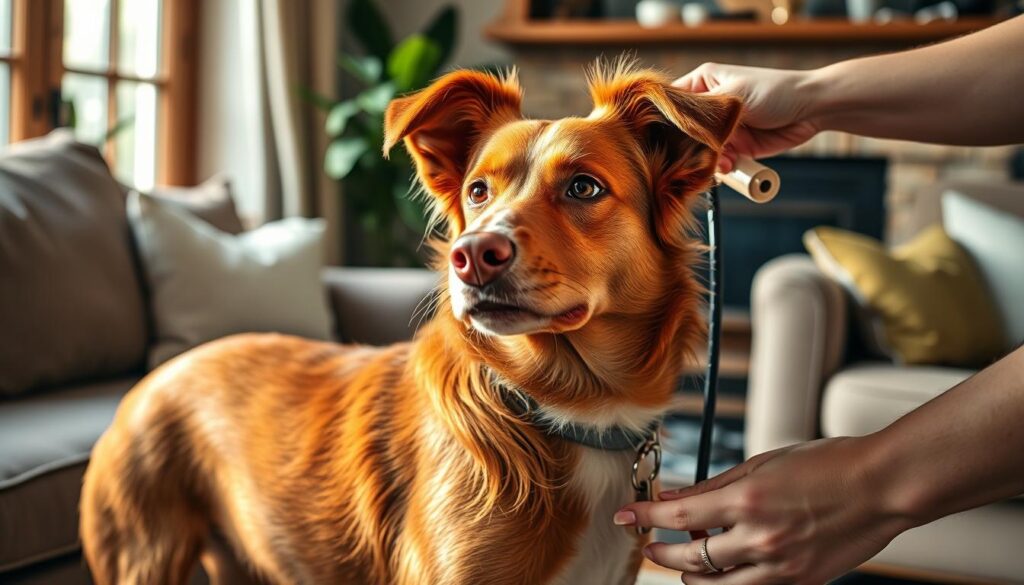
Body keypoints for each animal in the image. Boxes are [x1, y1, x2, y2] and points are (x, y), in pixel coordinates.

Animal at [79, 63, 737, 585]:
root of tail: (160, 374)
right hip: (143, 555)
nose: (472, 256)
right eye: (478, 191)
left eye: (583, 187)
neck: (570, 408)